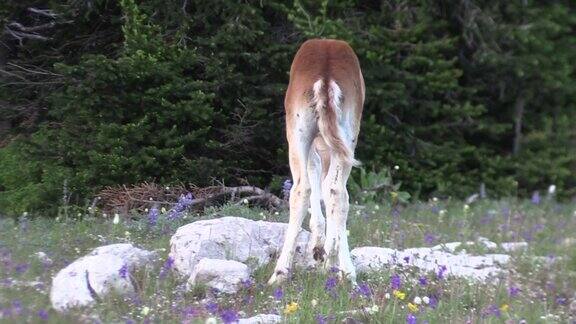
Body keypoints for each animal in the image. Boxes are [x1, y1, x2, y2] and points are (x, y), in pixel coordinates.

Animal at [268, 39, 364, 284]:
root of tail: (326, 78)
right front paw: (326, 257)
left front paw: (319, 252)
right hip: (348, 132)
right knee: (337, 190)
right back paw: (345, 272)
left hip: (298, 131)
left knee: (302, 188)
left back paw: (279, 273)